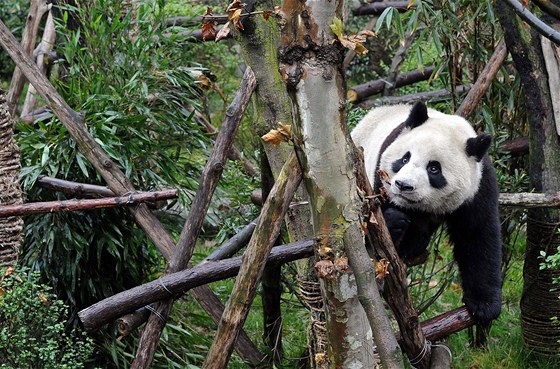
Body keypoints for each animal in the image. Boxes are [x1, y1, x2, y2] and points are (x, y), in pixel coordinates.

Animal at [352, 100, 500, 322]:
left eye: (434, 169)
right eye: (404, 159)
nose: (403, 185)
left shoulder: (478, 186)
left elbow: (478, 235)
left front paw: (485, 305)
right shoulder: (378, 179)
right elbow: (381, 238)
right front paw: (395, 222)